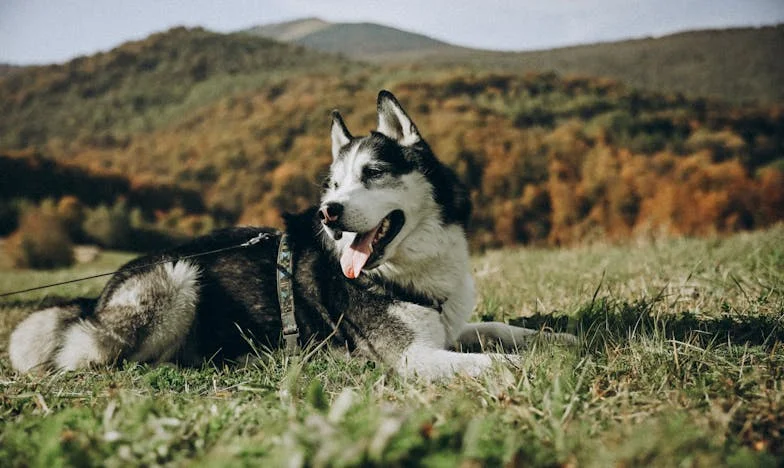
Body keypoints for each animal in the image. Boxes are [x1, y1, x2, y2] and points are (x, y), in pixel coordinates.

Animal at [7, 90, 576, 380]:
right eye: (334, 184)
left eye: (372, 173)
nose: (328, 212)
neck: (410, 268)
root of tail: (98, 297)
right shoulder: (414, 357)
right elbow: (490, 360)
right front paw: (539, 364)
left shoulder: (449, 327)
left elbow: (500, 329)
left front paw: (558, 339)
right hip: (176, 277)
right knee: (100, 356)